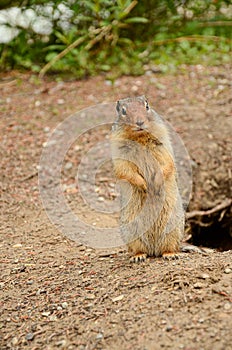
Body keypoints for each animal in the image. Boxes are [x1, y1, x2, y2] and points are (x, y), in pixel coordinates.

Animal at [111, 95, 185, 262]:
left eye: (147, 106)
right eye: (123, 111)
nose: (139, 122)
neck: (139, 137)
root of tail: (154, 250)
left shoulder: (162, 144)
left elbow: (167, 163)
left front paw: (155, 184)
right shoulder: (120, 152)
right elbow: (125, 170)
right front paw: (144, 185)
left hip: (173, 227)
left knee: (169, 246)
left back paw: (171, 254)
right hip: (131, 230)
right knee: (138, 248)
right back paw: (138, 256)